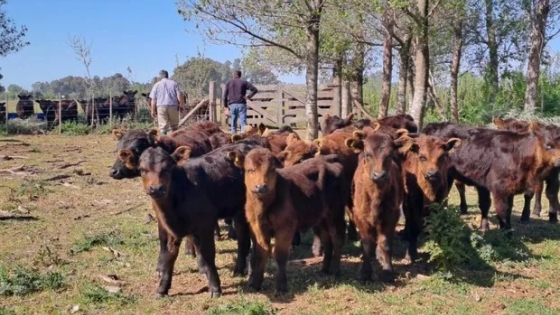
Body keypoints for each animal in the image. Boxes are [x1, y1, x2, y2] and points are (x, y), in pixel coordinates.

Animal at [136, 147, 223, 300]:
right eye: (142, 169)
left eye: (168, 168)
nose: (156, 188)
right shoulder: (171, 230)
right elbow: (169, 255)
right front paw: (162, 288)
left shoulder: (205, 224)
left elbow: (208, 254)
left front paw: (214, 287)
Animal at [230, 149, 348, 296]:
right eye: (249, 170)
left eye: (272, 169)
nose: (261, 187)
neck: (263, 207)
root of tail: (329, 158)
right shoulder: (257, 227)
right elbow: (261, 253)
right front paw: (255, 284)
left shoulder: (285, 227)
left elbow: (280, 254)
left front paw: (281, 285)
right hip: (322, 216)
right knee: (327, 238)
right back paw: (325, 268)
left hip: (335, 212)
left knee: (338, 237)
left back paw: (334, 270)